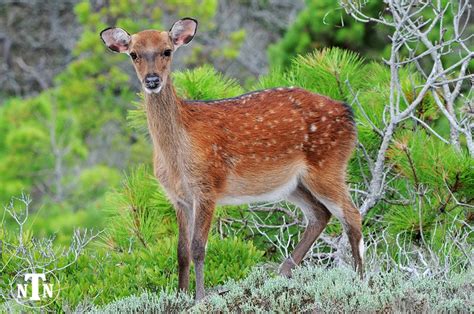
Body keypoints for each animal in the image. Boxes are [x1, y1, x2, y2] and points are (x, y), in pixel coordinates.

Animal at [100, 17, 364, 302]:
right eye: (134, 54)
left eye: (167, 51)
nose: (152, 80)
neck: (175, 157)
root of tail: (348, 113)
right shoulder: (178, 198)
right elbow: (181, 252)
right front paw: (180, 296)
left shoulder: (207, 187)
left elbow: (198, 248)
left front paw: (199, 298)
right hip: (292, 184)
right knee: (320, 214)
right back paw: (280, 274)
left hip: (328, 165)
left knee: (352, 215)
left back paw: (360, 279)